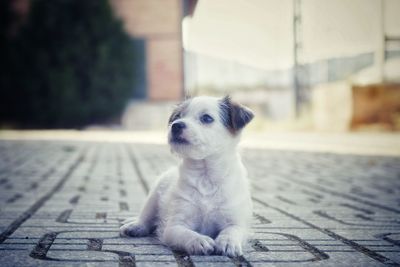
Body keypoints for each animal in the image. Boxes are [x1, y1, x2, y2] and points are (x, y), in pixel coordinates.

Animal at [120, 96, 255, 258]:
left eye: (206, 118)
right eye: (178, 116)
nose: (176, 125)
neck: (205, 175)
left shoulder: (236, 221)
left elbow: (232, 230)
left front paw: (228, 242)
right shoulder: (174, 226)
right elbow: (186, 233)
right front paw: (199, 240)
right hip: (154, 195)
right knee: (146, 217)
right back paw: (135, 226)